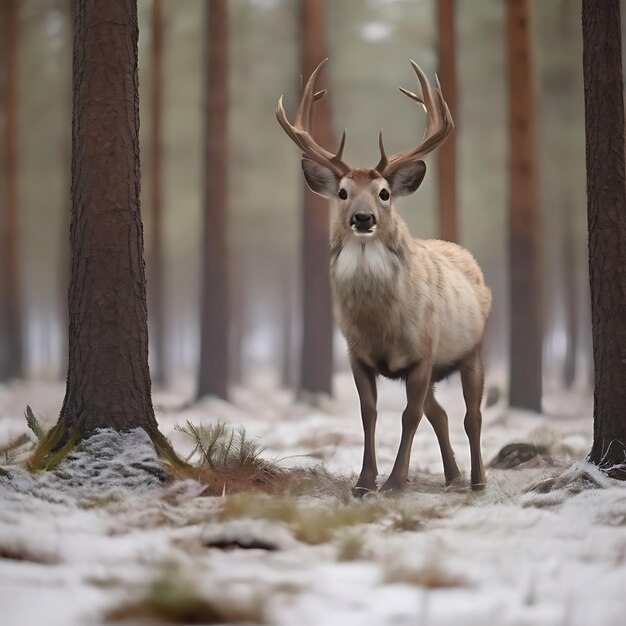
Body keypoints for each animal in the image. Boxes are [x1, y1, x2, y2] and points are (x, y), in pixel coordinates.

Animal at [276, 61, 490, 494]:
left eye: (384, 193)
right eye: (342, 192)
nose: (363, 218)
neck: (380, 325)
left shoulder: (422, 353)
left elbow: (409, 416)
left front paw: (394, 480)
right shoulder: (357, 355)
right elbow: (369, 414)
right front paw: (363, 481)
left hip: (472, 348)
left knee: (471, 415)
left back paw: (477, 481)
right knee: (440, 413)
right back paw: (453, 476)